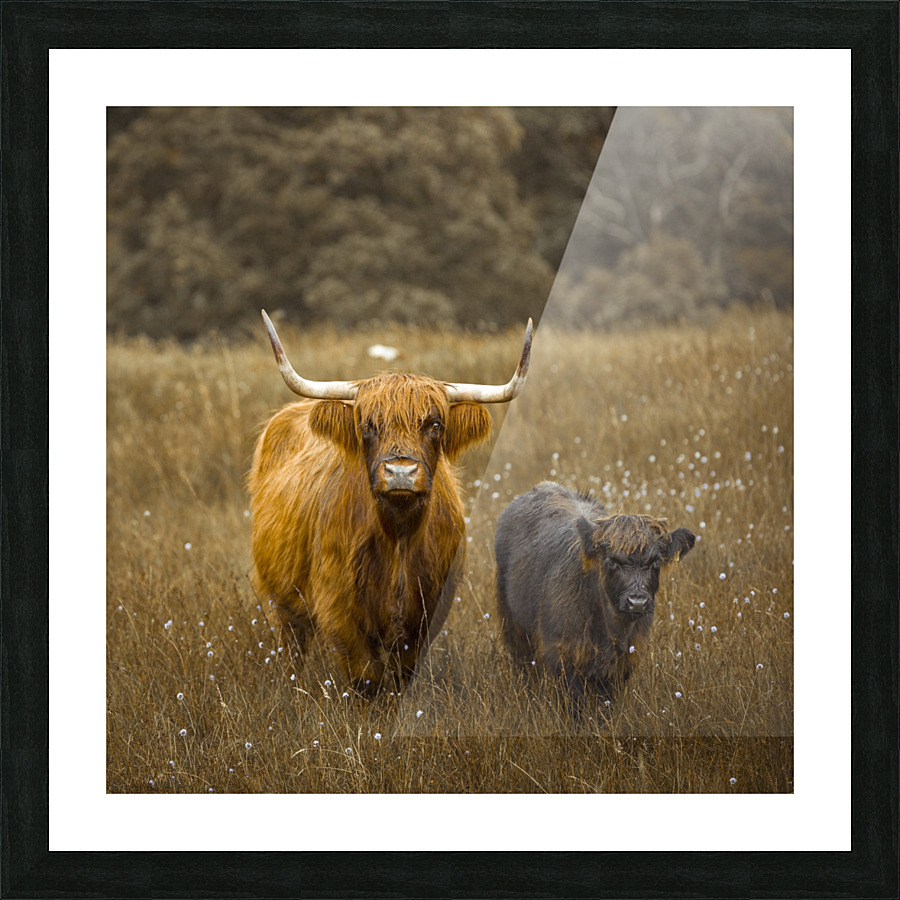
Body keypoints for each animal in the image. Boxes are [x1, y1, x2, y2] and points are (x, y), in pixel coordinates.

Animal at [249, 310, 533, 696]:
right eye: (367, 425)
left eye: (435, 424)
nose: (400, 472)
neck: (398, 538)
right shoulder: (340, 610)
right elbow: (367, 679)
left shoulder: (425, 614)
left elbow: (400, 677)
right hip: (282, 599)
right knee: (293, 645)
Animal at [494, 482, 694, 704]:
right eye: (612, 561)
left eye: (656, 562)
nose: (637, 602)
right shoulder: (563, 657)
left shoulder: (624, 664)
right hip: (514, 625)